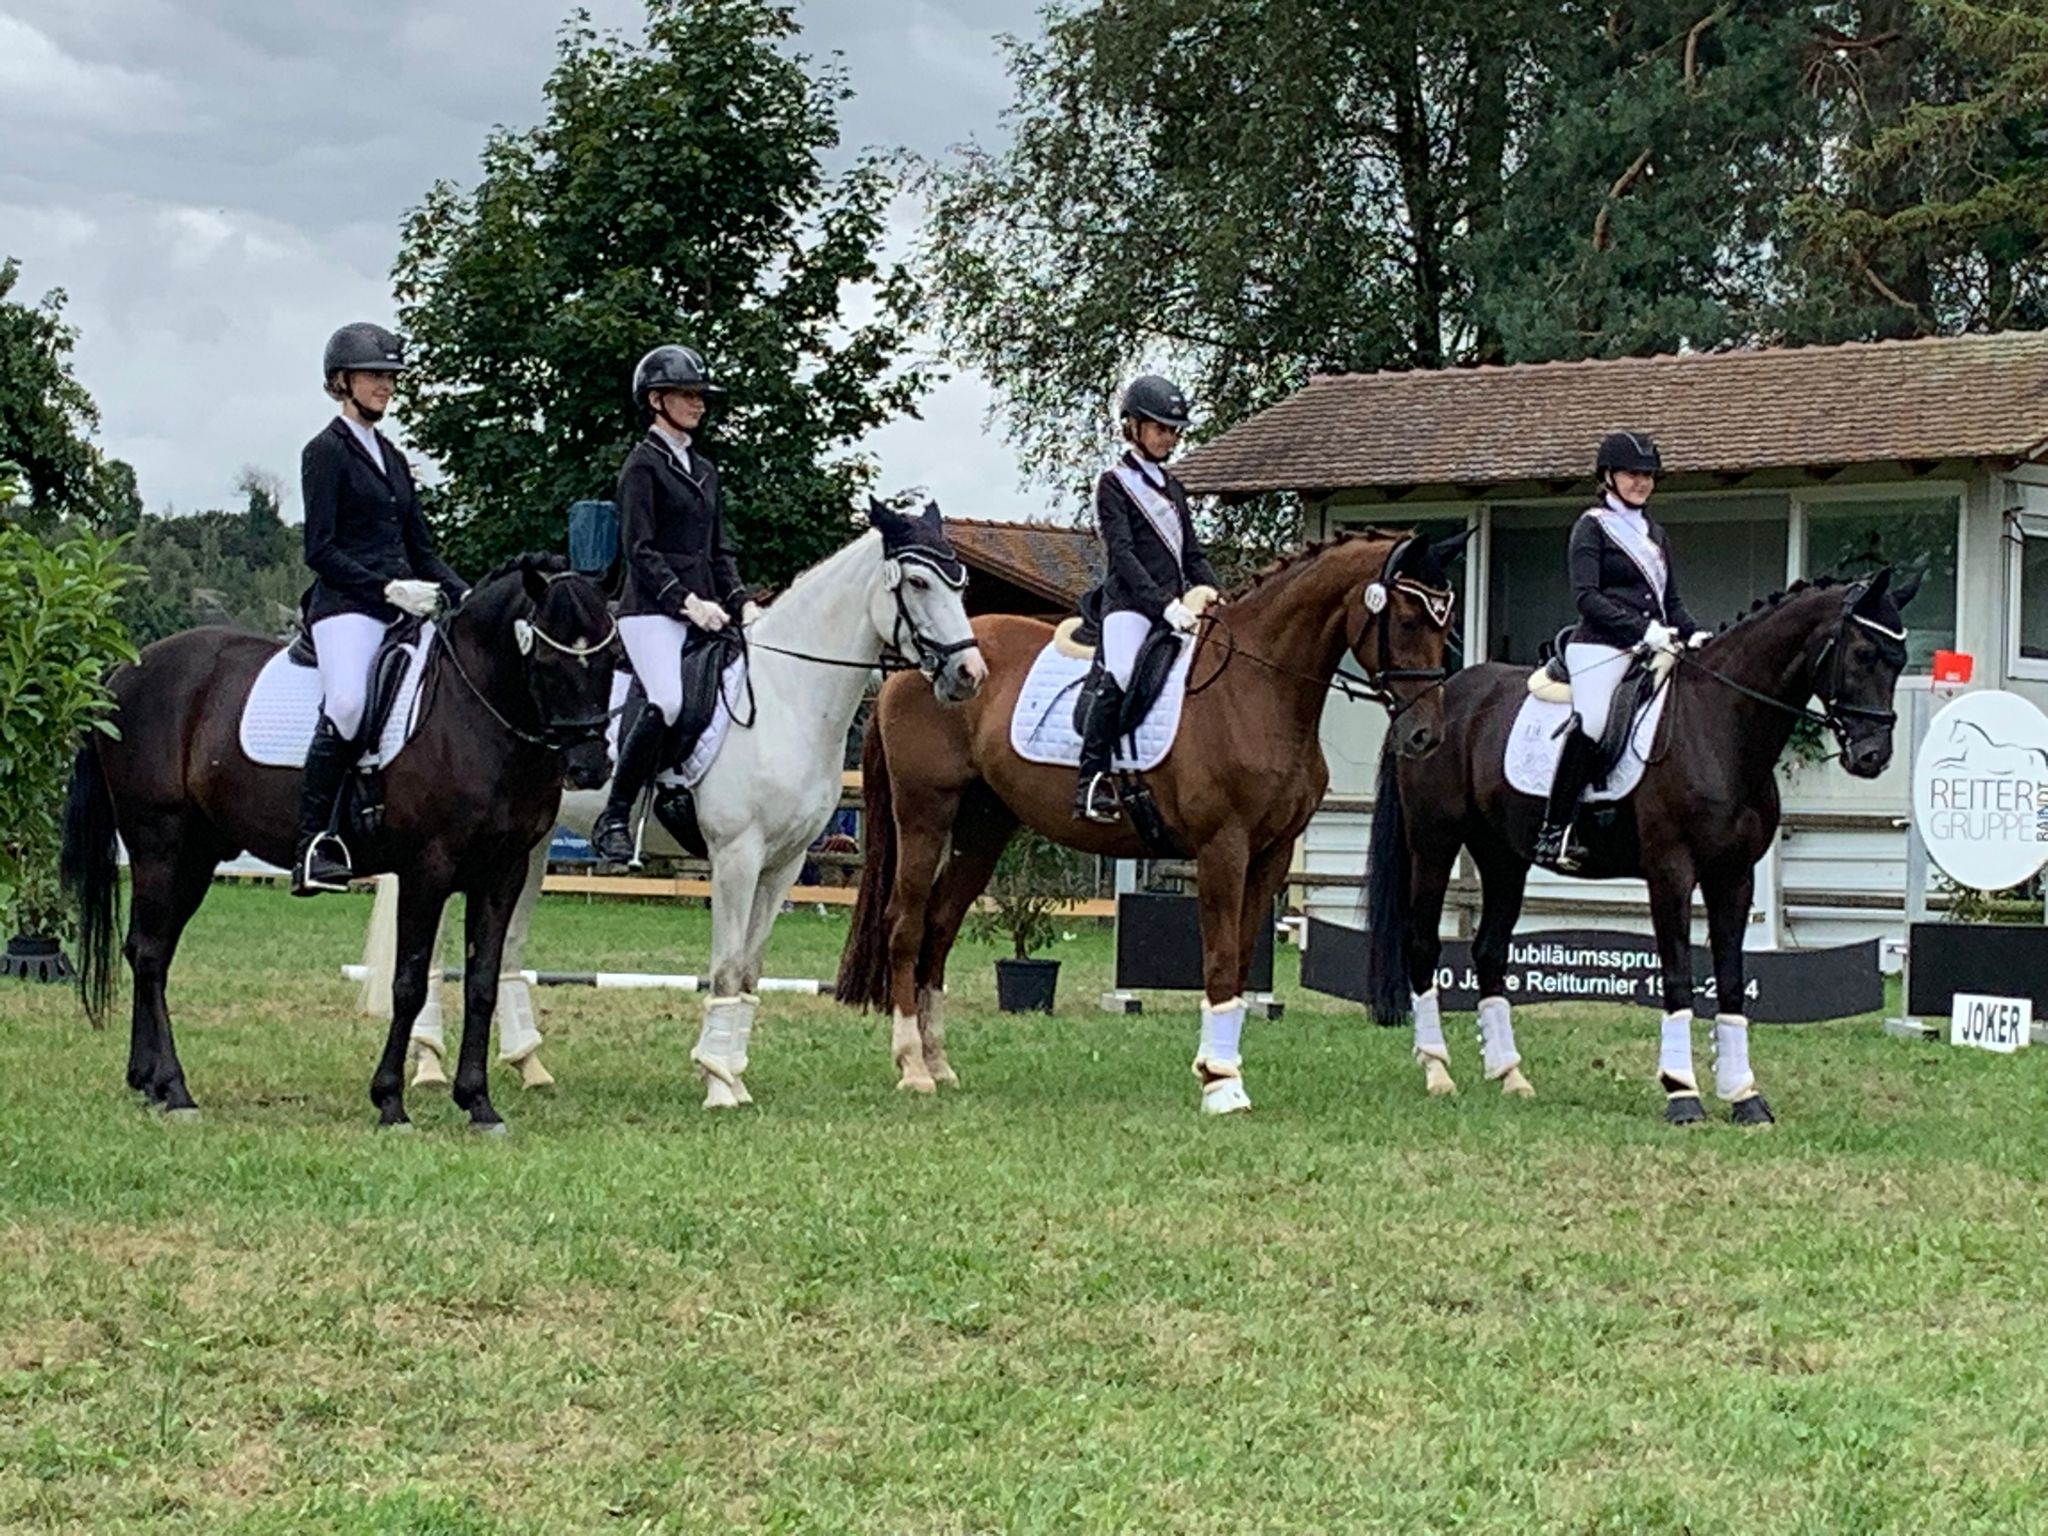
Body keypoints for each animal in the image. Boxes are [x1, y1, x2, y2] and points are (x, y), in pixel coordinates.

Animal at [61, 555, 619, 1131]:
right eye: (548, 663)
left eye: (612, 660)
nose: (590, 767)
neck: (476, 715)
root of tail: (128, 669)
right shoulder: (428, 869)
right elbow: (408, 983)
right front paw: (390, 1101)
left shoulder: (503, 872)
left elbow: (483, 982)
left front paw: (478, 1103)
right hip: (159, 843)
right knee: (150, 954)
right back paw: (175, 1091)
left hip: (196, 855)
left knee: (150, 950)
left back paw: (147, 1082)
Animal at [357, 501, 986, 1108]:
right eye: (919, 582)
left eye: (960, 583)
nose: (969, 674)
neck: (785, 697)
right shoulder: (736, 857)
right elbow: (726, 971)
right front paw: (717, 1083)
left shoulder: (784, 865)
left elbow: (749, 973)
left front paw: (734, 1076)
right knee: (436, 952)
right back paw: (430, 1066)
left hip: (528, 847)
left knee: (508, 949)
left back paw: (530, 1066)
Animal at [835, 528, 1470, 1113]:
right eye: (1407, 619)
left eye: (1447, 623)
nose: (1425, 736)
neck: (1257, 689)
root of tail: (916, 667)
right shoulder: (1223, 848)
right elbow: (1219, 960)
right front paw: (1221, 1083)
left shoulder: (1272, 855)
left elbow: (1242, 961)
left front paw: (1221, 1066)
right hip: (926, 814)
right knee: (905, 925)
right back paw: (913, 1067)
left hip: (983, 827)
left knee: (940, 927)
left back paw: (940, 1063)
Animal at [1364, 571, 1918, 1124]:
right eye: (1864, 652)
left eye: (1901, 661)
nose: (1872, 757)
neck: (1717, 725)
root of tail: (1432, 703)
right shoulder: (1671, 871)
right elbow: (1677, 975)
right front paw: (1682, 1094)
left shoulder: (1734, 876)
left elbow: (1731, 981)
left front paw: (1745, 1097)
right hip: (1435, 844)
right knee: (1422, 945)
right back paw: (1438, 1071)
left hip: (1504, 858)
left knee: (1490, 951)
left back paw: (1511, 1077)